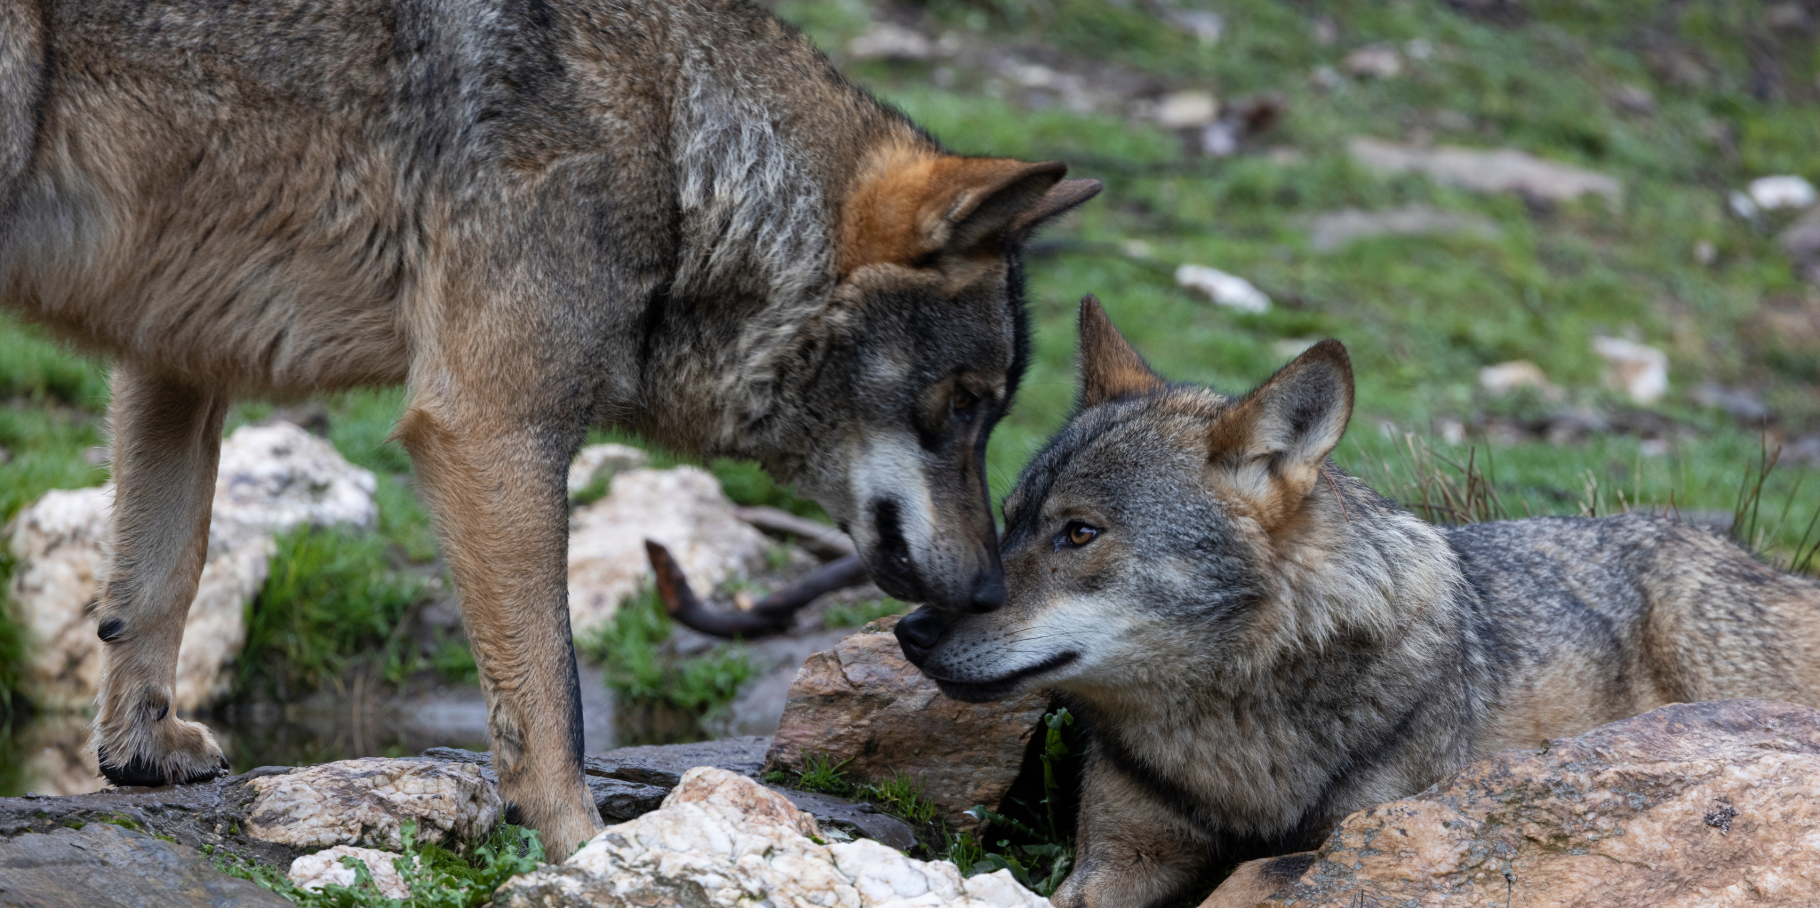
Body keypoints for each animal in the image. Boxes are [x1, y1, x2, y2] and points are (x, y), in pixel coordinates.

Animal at [0, 0, 1099, 851]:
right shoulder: (490, 426)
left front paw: (137, 752)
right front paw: (582, 843)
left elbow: (159, 581)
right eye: (966, 404)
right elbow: (551, 686)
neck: (683, 153)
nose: (988, 588)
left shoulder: (173, 357)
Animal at [893, 297, 1820, 907]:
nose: (911, 629)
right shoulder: (1115, 862)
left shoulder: (1358, 838)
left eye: (1079, 533)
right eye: (1012, 520)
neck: (1236, 746)